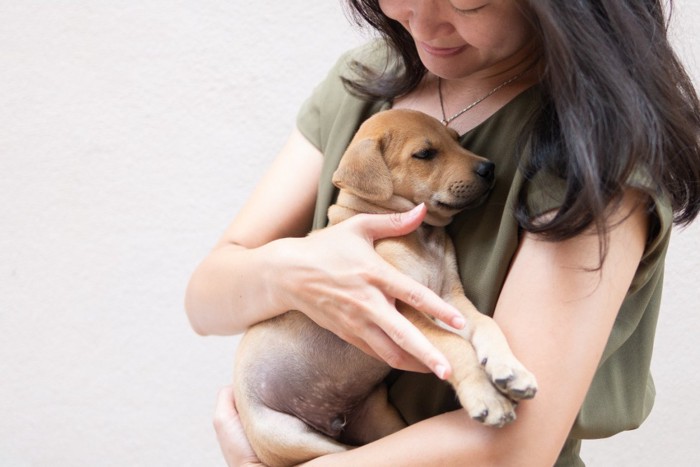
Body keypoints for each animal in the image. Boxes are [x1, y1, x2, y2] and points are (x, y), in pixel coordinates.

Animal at [234, 110, 536, 467]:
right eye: (425, 154)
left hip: (380, 420)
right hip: (288, 437)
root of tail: (332, 420)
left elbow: (486, 324)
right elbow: (454, 344)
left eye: (456, 139)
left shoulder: (450, 300)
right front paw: (487, 397)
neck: (418, 235)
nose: (489, 168)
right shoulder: (399, 309)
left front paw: (510, 370)